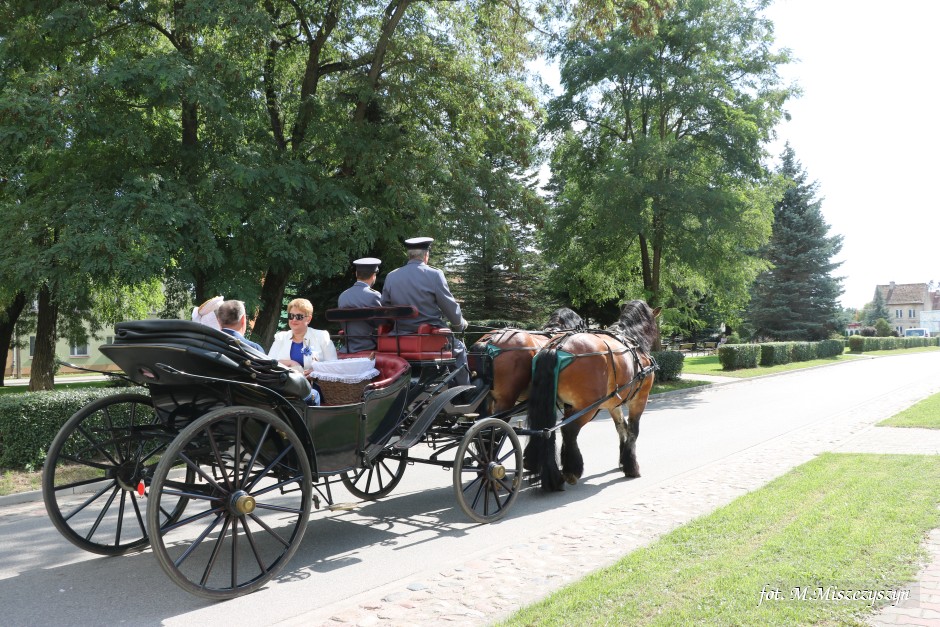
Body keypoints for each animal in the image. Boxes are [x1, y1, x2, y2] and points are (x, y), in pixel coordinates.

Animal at [527, 300, 660, 492]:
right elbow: (633, 430)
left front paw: (622, 461)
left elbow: (622, 427)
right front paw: (631, 466)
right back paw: (571, 470)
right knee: (569, 430)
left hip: (561, 405)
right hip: (587, 407)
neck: (631, 338)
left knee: (550, 432)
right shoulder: (640, 399)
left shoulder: (613, 403)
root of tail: (556, 347)